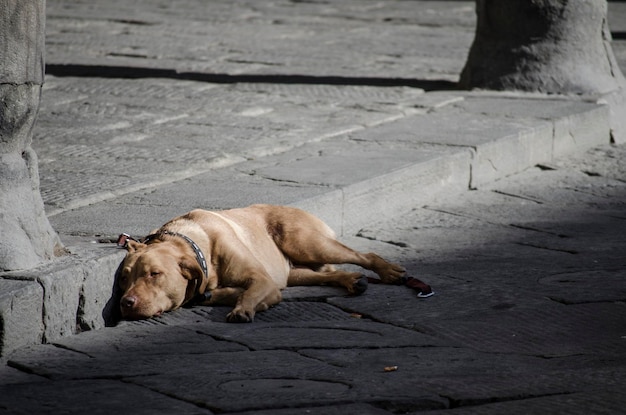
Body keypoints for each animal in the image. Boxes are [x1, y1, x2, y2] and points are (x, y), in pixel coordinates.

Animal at [118, 203, 404, 324]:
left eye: (155, 274)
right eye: (123, 278)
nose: (125, 303)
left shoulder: (263, 280)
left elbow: (249, 293)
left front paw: (242, 308)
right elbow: (224, 292)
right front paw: (221, 295)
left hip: (308, 244)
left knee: (364, 256)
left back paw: (389, 271)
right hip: (294, 272)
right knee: (328, 275)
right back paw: (352, 280)